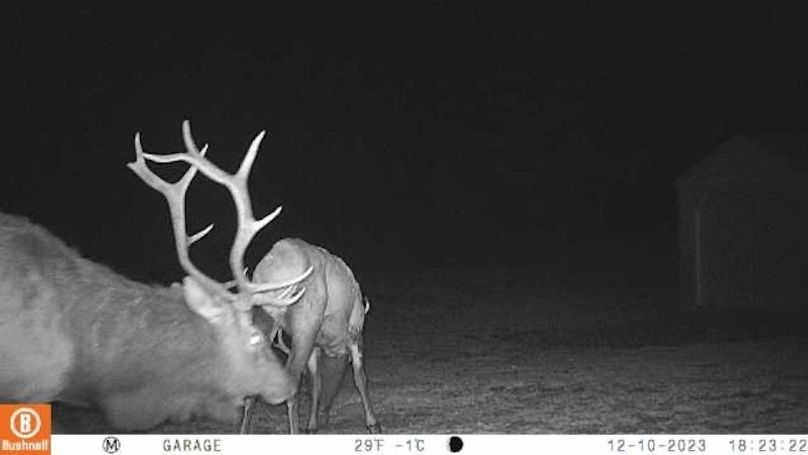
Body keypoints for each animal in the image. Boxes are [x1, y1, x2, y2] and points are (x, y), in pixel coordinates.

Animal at [240, 238, 382, 434]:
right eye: (339, 378)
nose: (326, 411)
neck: (332, 343)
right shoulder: (355, 332)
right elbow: (360, 378)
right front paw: (373, 423)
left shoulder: (315, 345)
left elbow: (315, 384)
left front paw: (312, 425)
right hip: (306, 323)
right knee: (291, 378)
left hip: (263, 316)